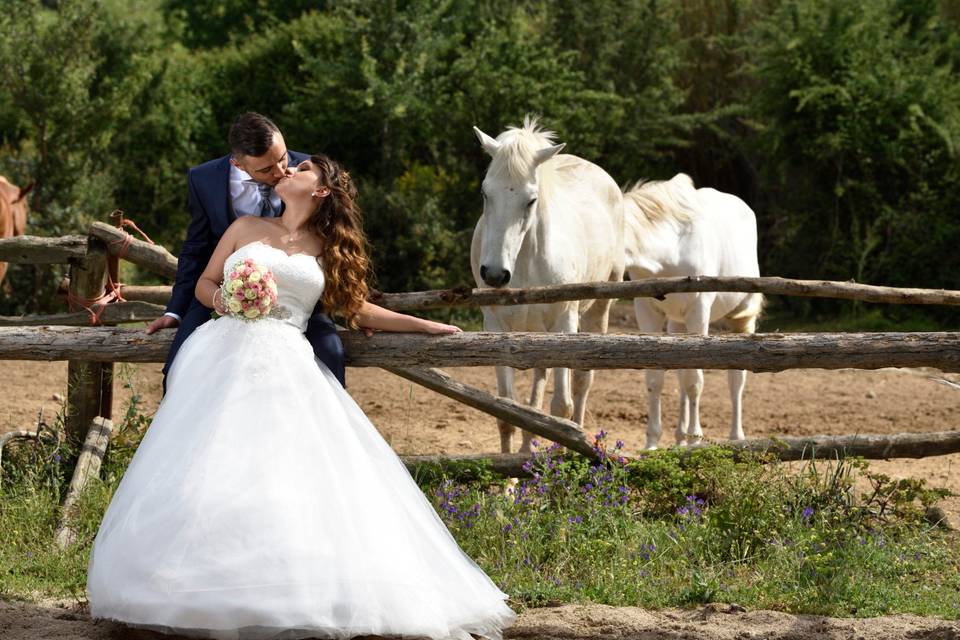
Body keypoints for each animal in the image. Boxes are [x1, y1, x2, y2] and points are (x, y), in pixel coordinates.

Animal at [470, 117, 624, 452]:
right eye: (485, 194)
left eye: (531, 200)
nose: (495, 275)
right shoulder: (496, 327)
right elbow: (506, 412)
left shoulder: (565, 325)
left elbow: (561, 408)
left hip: (597, 312)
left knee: (581, 383)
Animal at [624, 172, 764, 448]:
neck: (670, 248)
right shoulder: (646, 311)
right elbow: (656, 379)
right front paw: (651, 445)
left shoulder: (699, 312)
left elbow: (695, 382)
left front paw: (696, 440)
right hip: (677, 324)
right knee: (681, 371)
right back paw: (680, 438)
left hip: (739, 321)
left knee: (736, 380)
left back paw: (735, 437)